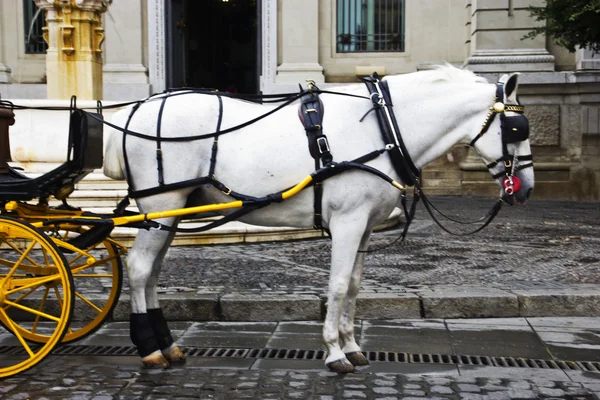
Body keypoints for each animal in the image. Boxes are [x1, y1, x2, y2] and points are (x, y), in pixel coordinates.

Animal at [103, 65, 536, 372]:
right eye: (517, 128)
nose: (527, 188)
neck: (384, 129)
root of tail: (136, 111)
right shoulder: (347, 222)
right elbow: (339, 285)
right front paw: (333, 352)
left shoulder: (365, 226)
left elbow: (355, 287)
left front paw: (352, 346)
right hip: (162, 204)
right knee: (139, 268)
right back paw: (149, 350)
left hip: (169, 213)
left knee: (153, 272)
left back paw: (168, 346)